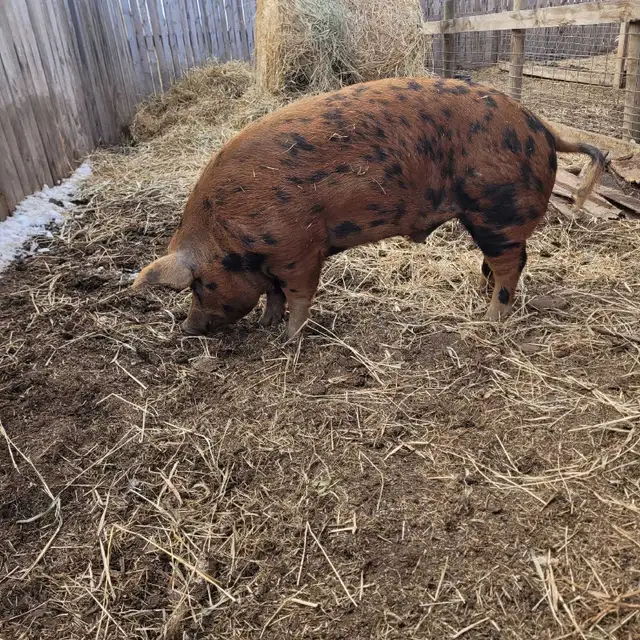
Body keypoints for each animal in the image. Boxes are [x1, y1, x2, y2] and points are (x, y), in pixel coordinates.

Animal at [132, 76, 604, 340]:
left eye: (199, 286)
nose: (188, 329)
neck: (226, 230)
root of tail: (543, 127)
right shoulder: (272, 261)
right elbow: (272, 294)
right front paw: (267, 326)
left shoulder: (299, 250)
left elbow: (297, 295)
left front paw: (288, 340)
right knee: (502, 263)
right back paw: (480, 296)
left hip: (498, 209)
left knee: (513, 264)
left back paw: (490, 322)